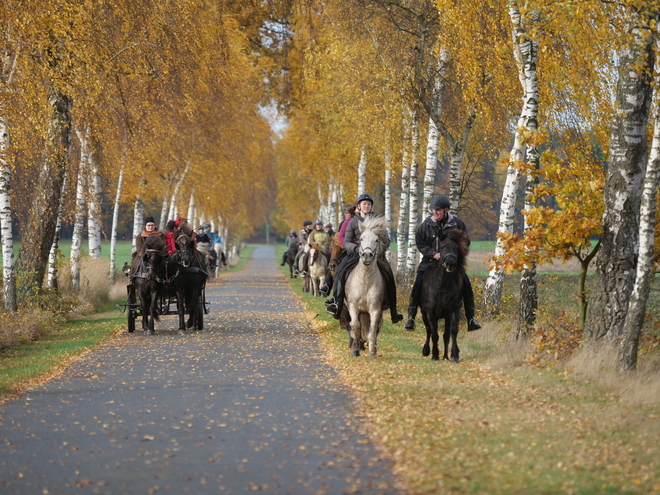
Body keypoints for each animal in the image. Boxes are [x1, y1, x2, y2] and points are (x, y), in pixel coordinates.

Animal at [342, 215, 390, 358]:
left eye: (376, 240)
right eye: (361, 239)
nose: (367, 255)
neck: (365, 280)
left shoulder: (375, 309)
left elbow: (372, 330)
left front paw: (372, 353)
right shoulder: (353, 307)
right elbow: (355, 326)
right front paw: (355, 350)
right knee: (352, 326)